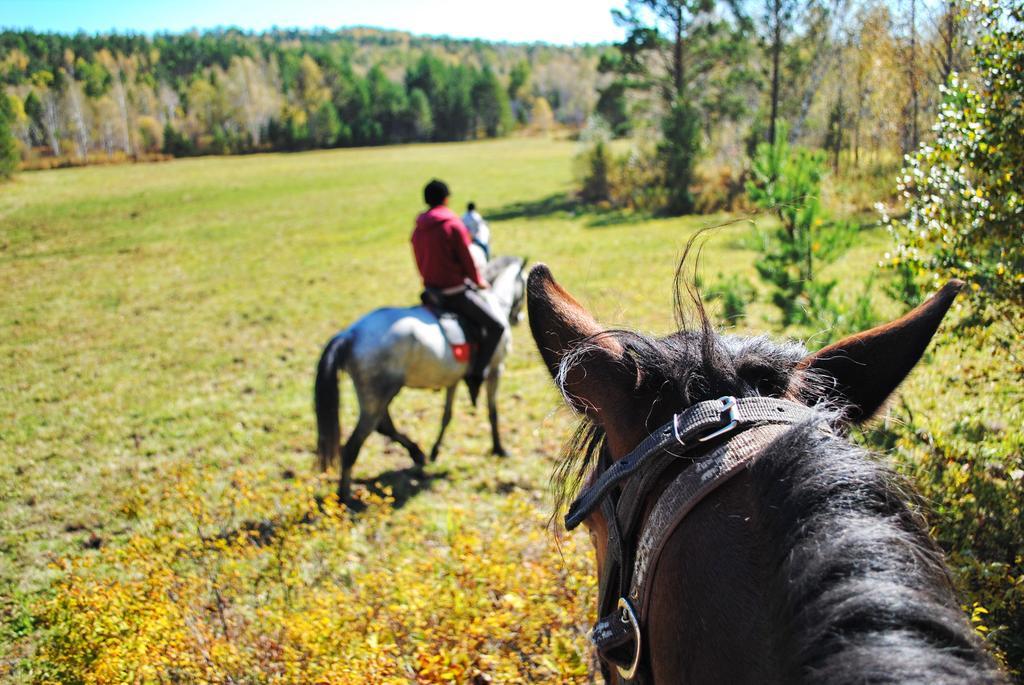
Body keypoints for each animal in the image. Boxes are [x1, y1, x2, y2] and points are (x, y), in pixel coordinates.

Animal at [313, 255, 524, 501]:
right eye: (523, 283)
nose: (519, 318)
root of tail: (350, 334)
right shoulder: (496, 369)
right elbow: (493, 412)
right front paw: (499, 448)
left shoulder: (453, 378)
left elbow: (447, 415)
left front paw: (435, 450)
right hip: (380, 392)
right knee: (353, 445)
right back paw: (346, 496)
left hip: (378, 392)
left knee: (383, 426)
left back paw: (417, 453)